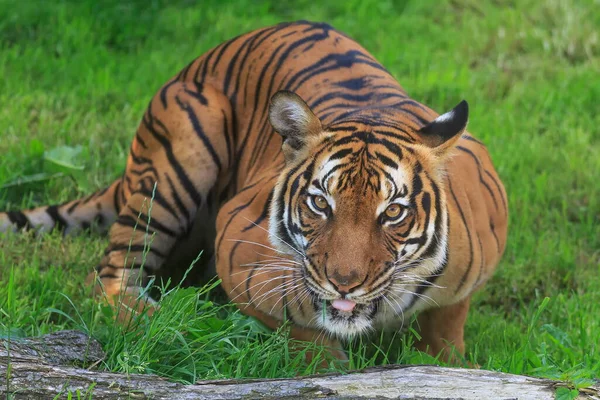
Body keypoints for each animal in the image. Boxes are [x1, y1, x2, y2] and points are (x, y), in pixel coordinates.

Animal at [0, 20, 506, 360]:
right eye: (320, 204)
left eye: (393, 213)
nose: (343, 282)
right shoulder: (238, 251)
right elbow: (302, 329)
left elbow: (446, 331)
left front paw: (446, 363)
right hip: (179, 161)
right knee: (109, 275)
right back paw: (160, 322)